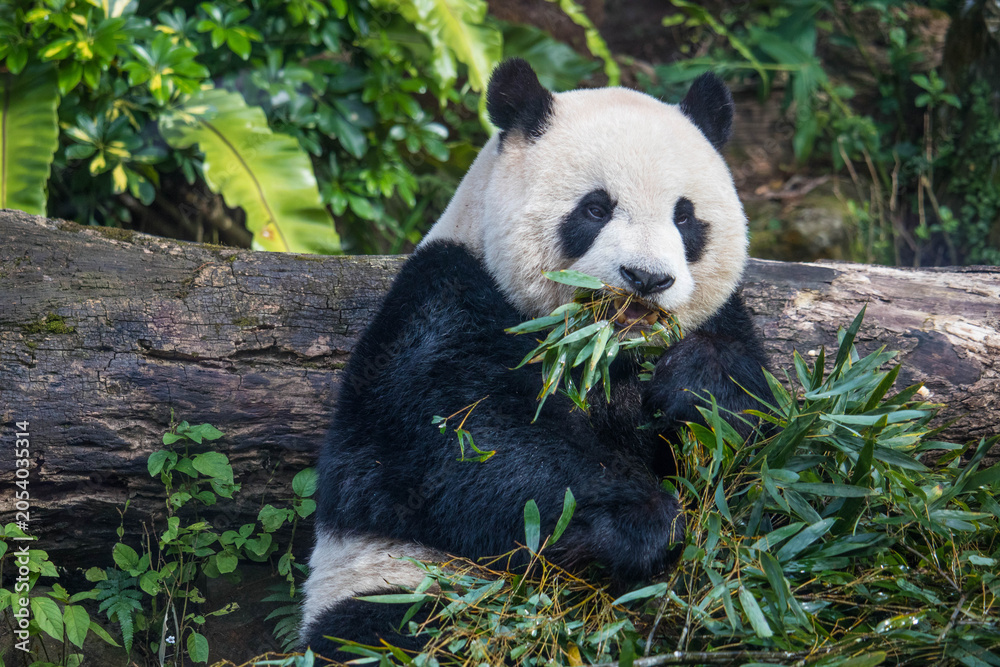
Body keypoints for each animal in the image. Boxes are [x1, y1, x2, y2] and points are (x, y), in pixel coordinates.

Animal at [301, 58, 770, 657]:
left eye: (684, 218)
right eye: (595, 208)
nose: (646, 279)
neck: (606, 352)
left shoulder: (718, 322)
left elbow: (748, 445)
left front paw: (696, 385)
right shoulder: (441, 305)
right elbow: (449, 447)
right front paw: (641, 519)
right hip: (397, 586)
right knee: (386, 630)